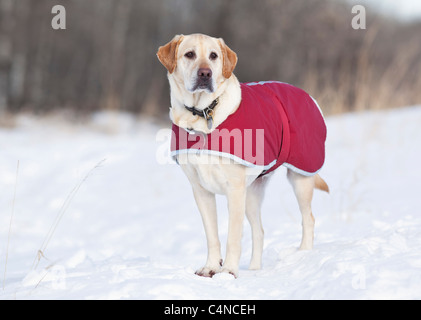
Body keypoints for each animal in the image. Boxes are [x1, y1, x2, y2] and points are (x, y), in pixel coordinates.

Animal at [158, 33, 328, 278]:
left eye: (213, 56)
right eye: (189, 54)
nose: (205, 74)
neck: (202, 114)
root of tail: (305, 93)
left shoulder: (234, 190)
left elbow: (233, 237)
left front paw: (228, 271)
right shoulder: (201, 191)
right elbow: (212, 236)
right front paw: (210, 267)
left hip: (300, 178)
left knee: (309, 219)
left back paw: (303, 254)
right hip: (253, 192)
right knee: (260, 231)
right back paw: (255, 269)